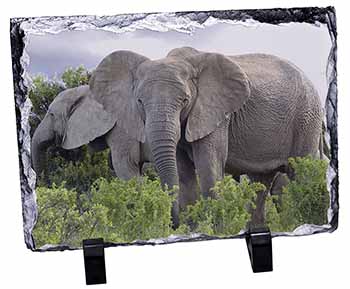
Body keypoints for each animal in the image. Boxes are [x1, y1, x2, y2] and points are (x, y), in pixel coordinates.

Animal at [89, 46, 322, 225]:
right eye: (139, 101)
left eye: (184, 100)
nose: (173, 223)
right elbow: (183, 173)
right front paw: (193, 230)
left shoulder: (215, 113)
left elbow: (209, 165)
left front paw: (216, 231)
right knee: (260, 183)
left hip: (307, 119)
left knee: (301, 174)